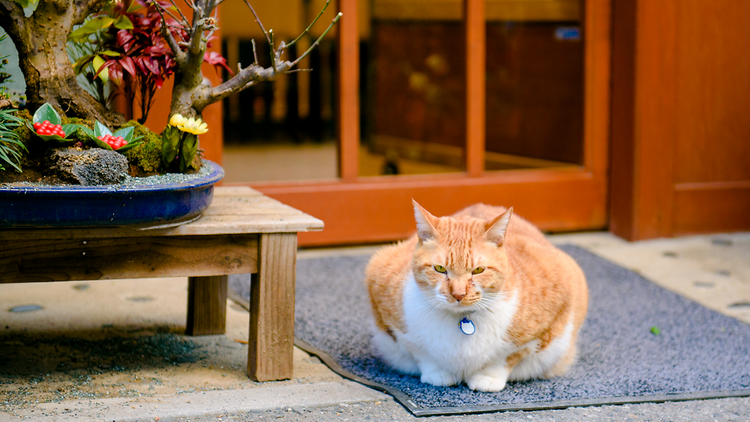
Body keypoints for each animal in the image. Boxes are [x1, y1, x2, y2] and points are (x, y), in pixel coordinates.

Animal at [368, 201, 592, 392]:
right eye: (440, 269)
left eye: (478, 270)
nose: (458, 294)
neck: (462, 320)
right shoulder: (392, 317)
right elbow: (421, 353)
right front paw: (437, 373)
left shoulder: (555, 304)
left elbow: (508, 356)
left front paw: (488, 377)